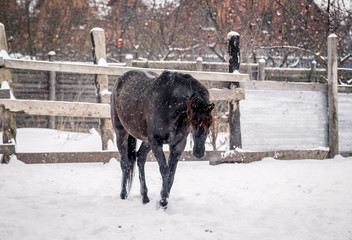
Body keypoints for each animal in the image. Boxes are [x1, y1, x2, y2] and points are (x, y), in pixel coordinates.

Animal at [110, 70, 214, 208]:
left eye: (210, 124)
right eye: (193, 121)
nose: (199, 153)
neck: (170, 103)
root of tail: (120, 80)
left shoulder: (178, 145)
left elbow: (171, 174)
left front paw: (162, 201)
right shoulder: (156, 142)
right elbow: (164, 170)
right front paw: (163, 201)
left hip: (146, 141)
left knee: (140, 157)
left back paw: (145, 198)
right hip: (121, 133)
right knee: (125, 164)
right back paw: (123, 195)